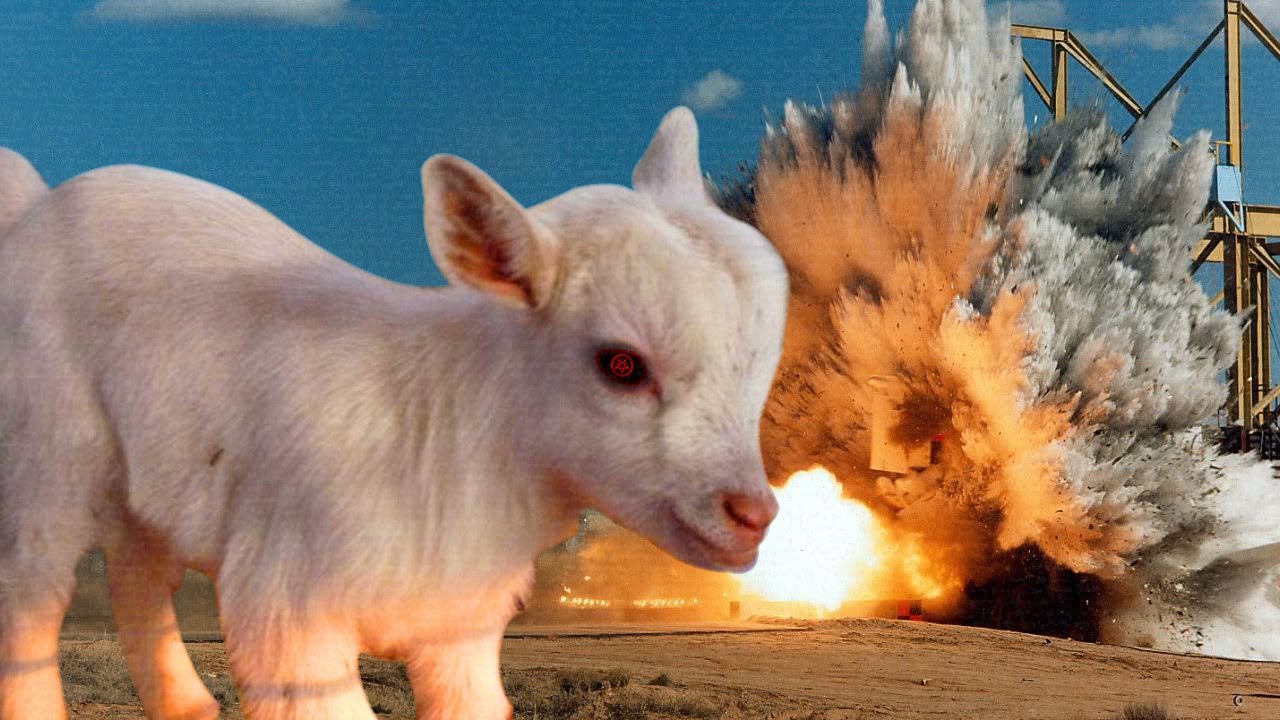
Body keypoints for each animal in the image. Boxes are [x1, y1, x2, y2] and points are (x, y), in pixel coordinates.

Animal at [0, 107, 788, 719]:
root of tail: (36, 203)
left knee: (137, 574)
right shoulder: (287, 618)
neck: (442, 419)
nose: (754, 514)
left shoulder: (460, 636)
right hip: (46, 444)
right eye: (621, 365)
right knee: (33, 590)